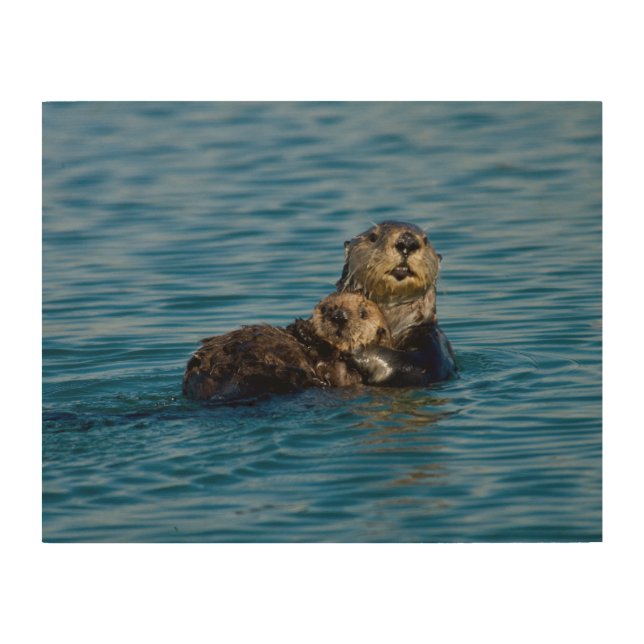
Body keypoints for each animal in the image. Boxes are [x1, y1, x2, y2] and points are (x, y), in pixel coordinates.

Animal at [182, 292, 392, 402]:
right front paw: (302, 327)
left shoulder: (347, 374)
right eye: (326, 308)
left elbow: (336, 372)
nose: (339, 316)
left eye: (363, 314)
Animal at [337, 220, 456, 386]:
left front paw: (356, 349)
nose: (407, 241)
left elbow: (414, 366)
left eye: (426, 240)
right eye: (373, 237)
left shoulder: (434, 344)